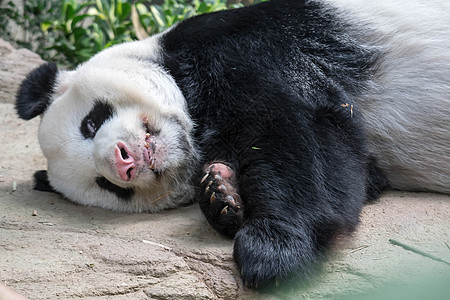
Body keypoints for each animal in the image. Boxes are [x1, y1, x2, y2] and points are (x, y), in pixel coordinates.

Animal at [14, 0, 450, 290]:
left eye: (91, 122)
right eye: (106, 185)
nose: (123, 164)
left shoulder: (244, 47)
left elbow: (295, 128)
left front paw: (273, 249)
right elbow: (352, 173)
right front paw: (221, 194)